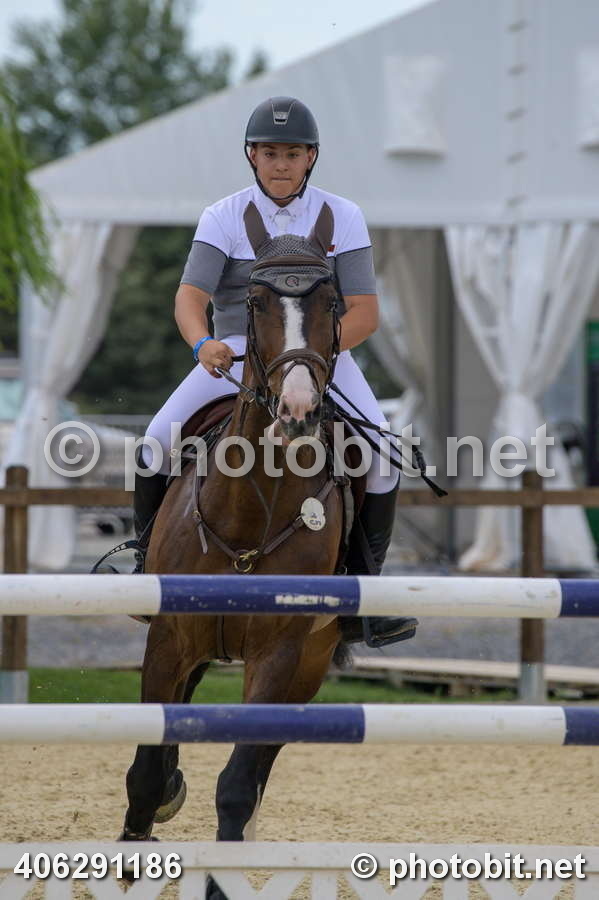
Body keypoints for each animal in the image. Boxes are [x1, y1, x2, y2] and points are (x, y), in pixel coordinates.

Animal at [120, 201, 353, 898]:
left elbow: (238, 784)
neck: (254, 507)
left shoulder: (280, 655)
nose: (299, 411)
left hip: (309, 666)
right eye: (254, 300)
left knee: (260, 764)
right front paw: (136, 840)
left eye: (332, 301)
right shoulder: (169, 637)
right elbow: (145, 769)